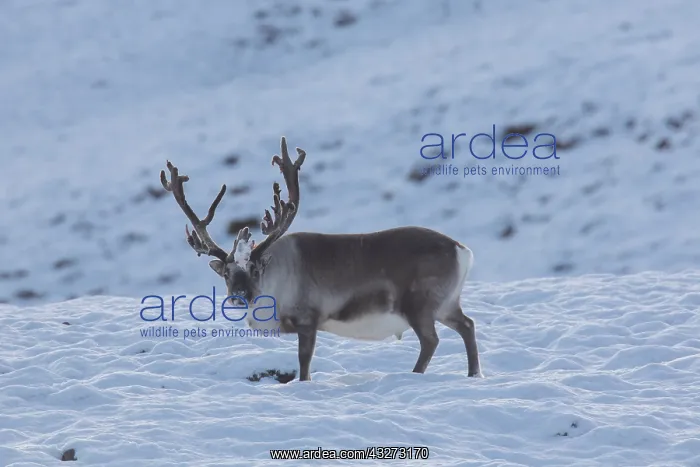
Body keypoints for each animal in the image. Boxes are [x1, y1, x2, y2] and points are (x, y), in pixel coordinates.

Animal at [160, 137, 481, 381]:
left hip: (419, 304)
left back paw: (416, 375)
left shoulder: (308, 319)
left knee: (431, 340)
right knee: (467, 325)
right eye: (226, 273)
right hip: (446, 304)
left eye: (253, 268)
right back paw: (474, 374)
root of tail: (462, 250)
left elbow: (304, 363)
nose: (238, 296)